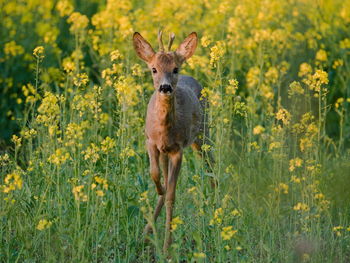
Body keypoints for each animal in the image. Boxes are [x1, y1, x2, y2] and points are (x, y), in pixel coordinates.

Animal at [133, 29, 211, 255]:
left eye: (175, 69)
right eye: (154, 69)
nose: (165, 87)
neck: (164, 132)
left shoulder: (178, 150)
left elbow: (171, 197)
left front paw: (167, 248)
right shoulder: (151, 142)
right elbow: (154, 174)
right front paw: (159, 189)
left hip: (202, 134)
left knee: (211, 167)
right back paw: (146, 233)